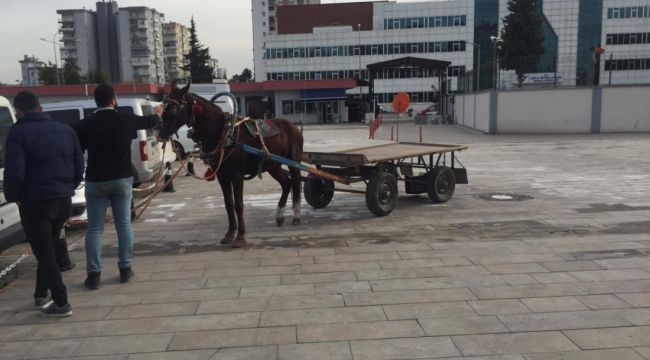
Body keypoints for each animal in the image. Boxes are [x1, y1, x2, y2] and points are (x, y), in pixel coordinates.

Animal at [158, 83, 302, 248]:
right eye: (163, 107)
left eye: (174, 109)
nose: (160, 133)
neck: (224, 134)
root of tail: (294, 126)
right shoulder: (223, 177)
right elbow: (228, 204)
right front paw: (229, 234)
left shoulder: (237, 176)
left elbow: (239, 205)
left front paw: (240, 236)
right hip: (273, 165)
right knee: (286, 184)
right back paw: (279, 216)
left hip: (294, 162)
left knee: (296, 184)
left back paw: (296, 216)